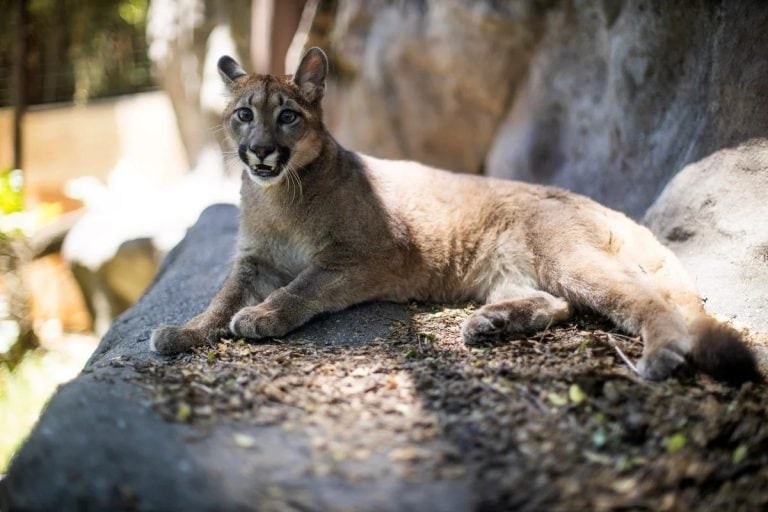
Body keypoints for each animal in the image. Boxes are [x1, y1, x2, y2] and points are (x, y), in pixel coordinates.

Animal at [150, 48, 756, 382]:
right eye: (244, 114)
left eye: (288, 116)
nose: (258, 152)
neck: (277, 198)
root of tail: (597, 203)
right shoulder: (252, 260)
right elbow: (220, 298)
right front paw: (184, 332)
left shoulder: (362, 255)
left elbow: (302, 286)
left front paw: (262, 317)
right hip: (509, 271)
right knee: (556, 303)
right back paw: (490, 323)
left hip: (569, 256)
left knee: (646, 300)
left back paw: (661, 356)